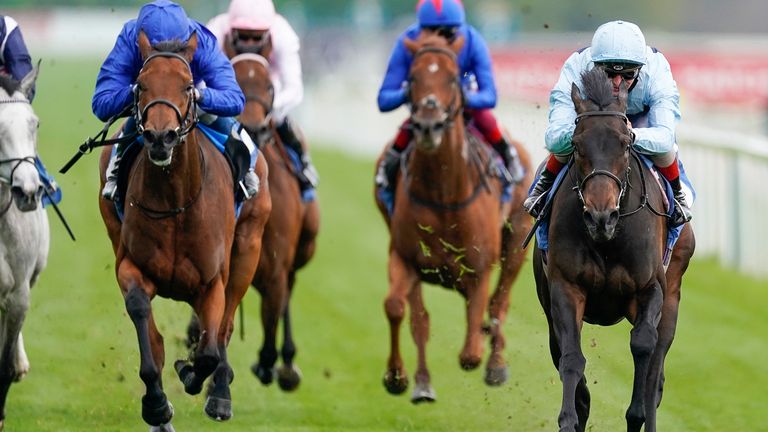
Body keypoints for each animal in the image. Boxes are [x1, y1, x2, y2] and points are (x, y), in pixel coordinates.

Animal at [97, 32, 270, 430]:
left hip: (247, 250)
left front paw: (194, 375)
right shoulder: (131, 265)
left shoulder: (212, 282)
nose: (161, 137)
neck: (175, 199)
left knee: (224, 328)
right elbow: (144, 322)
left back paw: (220, 393)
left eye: (188, 85)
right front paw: (157, 405)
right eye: (141, 85)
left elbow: (209, 350)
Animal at [374, 32, 536, 404]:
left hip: (516, 244)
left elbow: (471, 351)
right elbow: (400, 309)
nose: (428, 125)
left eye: (452, 77)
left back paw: (496, 364)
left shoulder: (479, 267)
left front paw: (486, 352)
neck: (443, 194)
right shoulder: (405, 257)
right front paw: (399, 377)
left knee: (499, 303)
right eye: (413, 78)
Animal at [536, 67, 696, 432]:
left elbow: (643, 346)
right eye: (577, 145)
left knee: (656, 370)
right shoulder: (565, 287)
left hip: (673, 297)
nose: (600, 216)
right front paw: (571, 417)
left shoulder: (651, 288)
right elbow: (571, 357)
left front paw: (636, 415)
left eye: (625, 144)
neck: (608, 239)